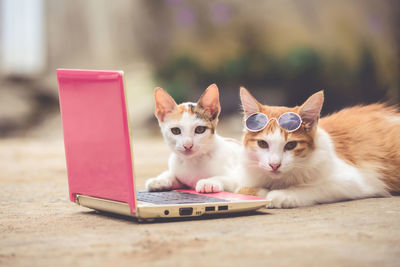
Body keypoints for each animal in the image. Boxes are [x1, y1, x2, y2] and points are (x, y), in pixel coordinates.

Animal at [236, 88, 398, 209]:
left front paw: (281, 194)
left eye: (291, 145)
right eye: (263, 144)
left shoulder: (355, 180)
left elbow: (313, 187)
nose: (274, 165)